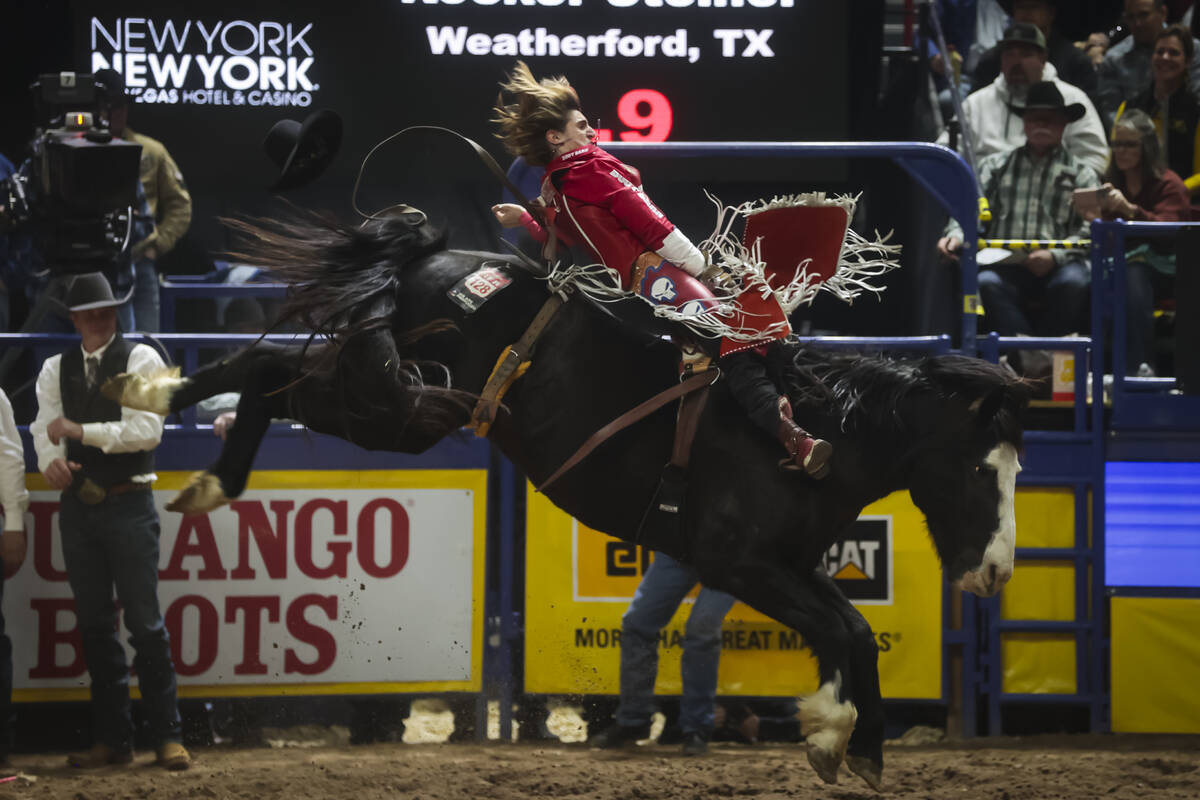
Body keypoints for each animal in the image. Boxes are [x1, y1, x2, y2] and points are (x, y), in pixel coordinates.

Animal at [103, 209, 1027, 791]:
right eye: (984, 471)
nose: (996, 572)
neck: (810, 432)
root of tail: (435, 257)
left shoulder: (791, 566)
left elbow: (856, 632)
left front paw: (853, 742)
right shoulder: (741, 562)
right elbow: (841, 630)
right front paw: (836, 733)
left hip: (392, 403)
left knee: (259, 371)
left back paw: (167, 412)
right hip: (397, 409)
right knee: (263, 370)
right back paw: (172, 420)